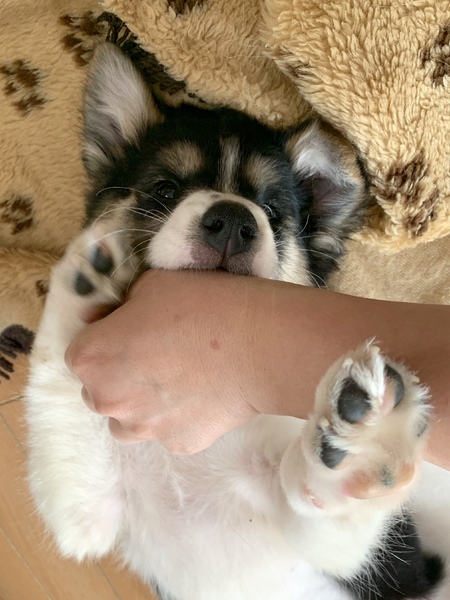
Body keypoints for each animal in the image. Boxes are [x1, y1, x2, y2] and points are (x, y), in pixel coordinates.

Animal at [24, 44, 444, 600]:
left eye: (270, 209)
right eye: (164, 190)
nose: (233, 222)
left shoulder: (364, 563)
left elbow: (334, 513)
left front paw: (368, 447)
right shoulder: (88, 517)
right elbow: (62, 377)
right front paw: (88, 280)